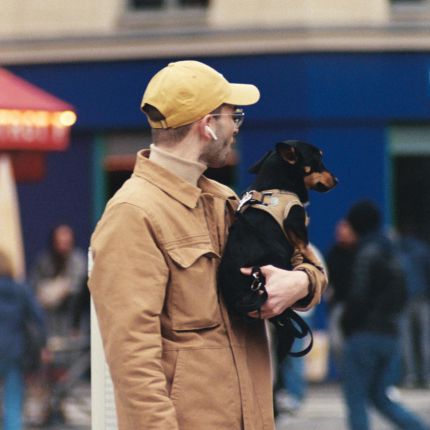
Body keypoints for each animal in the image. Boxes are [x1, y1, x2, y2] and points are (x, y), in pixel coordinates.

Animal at [220, 140, 338, 360]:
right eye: (318, 161)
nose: (336, 179)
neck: (276, 187)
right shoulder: (295, 220)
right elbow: (304, 244)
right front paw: (314, 261)